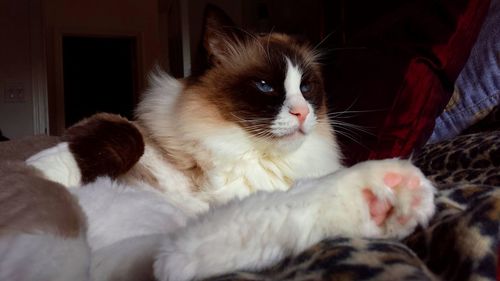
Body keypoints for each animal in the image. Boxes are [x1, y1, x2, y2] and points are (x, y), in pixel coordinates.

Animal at [18, 4, 434, 280]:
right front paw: (40, 172)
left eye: (306, 87)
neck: (235, 150)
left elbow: (274, 210)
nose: (302, 113)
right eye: (266, 85)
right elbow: (124, 135)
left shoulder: (161, 256)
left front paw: (388, 198)